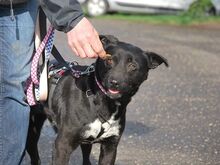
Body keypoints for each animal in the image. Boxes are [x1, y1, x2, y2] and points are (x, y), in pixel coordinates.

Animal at [26, 35, 168, 165]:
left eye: (132, 66)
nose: (114, 82)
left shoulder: (110, 146)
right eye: (109, 60)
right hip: (32, 129)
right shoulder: (62, 145)